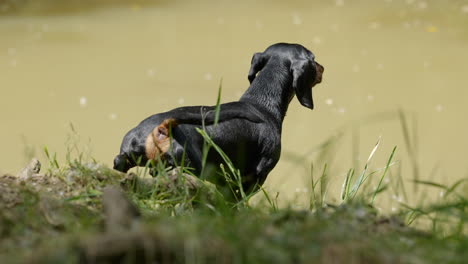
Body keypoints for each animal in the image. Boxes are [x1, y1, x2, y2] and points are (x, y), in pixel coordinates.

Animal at [115, 42, 324, 193]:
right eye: (313, 58)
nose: (323, 68)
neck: (261, 104)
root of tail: (160, 129)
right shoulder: (256, 175)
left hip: (124, 161)